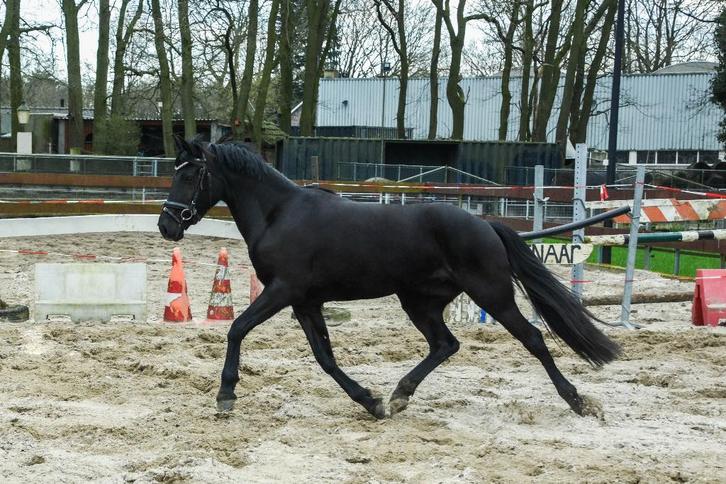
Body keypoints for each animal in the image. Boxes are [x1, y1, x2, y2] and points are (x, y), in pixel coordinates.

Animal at [158, 138, 620, 419]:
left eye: (190, 174)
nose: (167, 225)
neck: (279, 214)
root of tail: (487, 225)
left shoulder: (283, 290)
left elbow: (236, 328)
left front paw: (226, 395)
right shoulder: (306, 302)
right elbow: (326, 358)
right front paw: (370, 401)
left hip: (493, 295)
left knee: (534, 339)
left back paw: (577, 401)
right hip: (419, 302)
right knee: (445, 344)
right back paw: (399, 395)